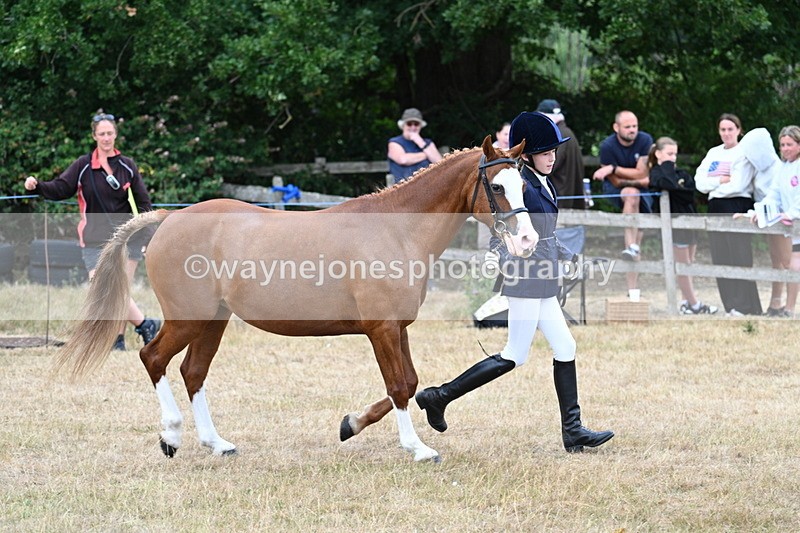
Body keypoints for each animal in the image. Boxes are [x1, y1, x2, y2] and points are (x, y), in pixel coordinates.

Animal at [54, 136, 538, 462]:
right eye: (497, 188)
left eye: (523, 183)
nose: (528, 241)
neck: (396, 230)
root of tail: (169, 219)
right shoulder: (381, 329)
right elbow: (399, 385)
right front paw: (417, 448)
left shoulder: (396, 327)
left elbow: (410, 383)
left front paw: (351, 424)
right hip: (188, 318)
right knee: (153, 358)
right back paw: (171, 437)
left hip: (214, 321)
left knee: (193, 372)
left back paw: (217, 443)